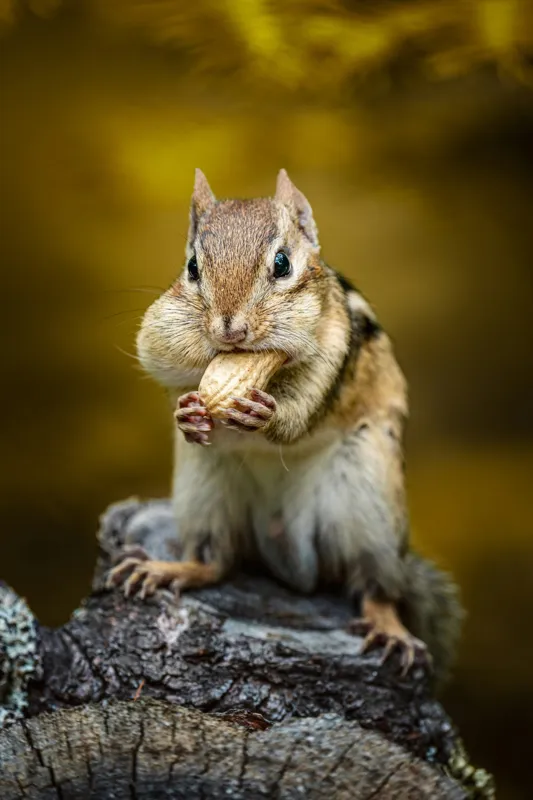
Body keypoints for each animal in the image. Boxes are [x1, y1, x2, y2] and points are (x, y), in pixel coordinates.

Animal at [107, 168, 463, 684]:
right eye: (192, 267)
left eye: (282, 263)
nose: (231, 330)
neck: (261, 369)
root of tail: (286, 550)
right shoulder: (161, 334)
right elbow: (162, 366)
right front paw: (188, 413)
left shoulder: (334, 349)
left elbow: (301, 415)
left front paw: (268, 415)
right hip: (205, 491)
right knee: (217, 562)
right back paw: (170, 569)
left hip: (368, 503)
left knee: (374, 588)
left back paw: (390, 627)